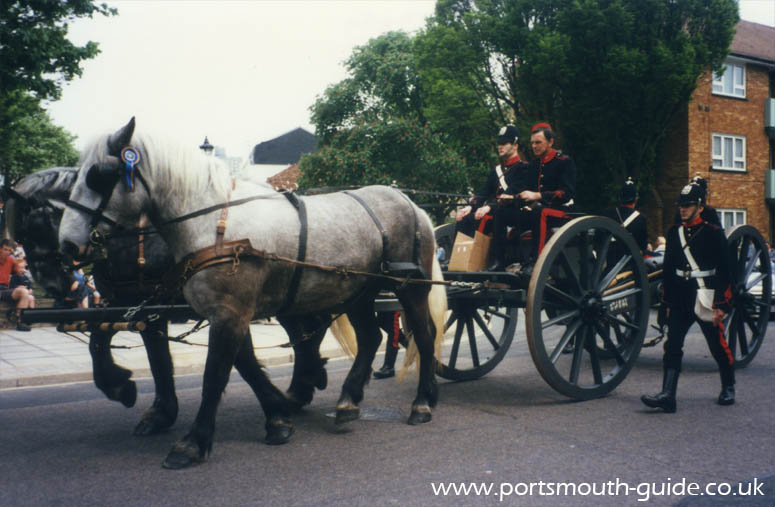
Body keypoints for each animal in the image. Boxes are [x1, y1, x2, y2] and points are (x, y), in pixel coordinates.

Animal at [5, 168, 334, 436]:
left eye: (36, 228)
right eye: (22, 236)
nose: (52, 285)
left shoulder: (221, 304)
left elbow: (240, 359)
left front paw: (275, 411)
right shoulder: (136, 304)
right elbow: (134, 352)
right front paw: (133, 395)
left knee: (310, 329)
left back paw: (305, 383)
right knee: (308, 331)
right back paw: (305, 382)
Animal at [59, 118, 448, 468]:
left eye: (98, 176)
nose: (68, 245)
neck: (216, 227)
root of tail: (413, 205)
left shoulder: (228, 312)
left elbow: (215, 374)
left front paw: (192, 442)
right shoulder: (225, 310)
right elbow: (243, 364)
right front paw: (277, 415)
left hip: (408, 288)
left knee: (424, 335)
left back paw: (422, 402)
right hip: (358, 291)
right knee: (368, 338)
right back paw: (347, 400)